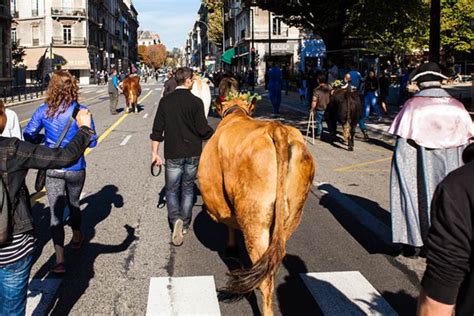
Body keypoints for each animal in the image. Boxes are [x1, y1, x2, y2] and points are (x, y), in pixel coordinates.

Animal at [197, 97, 314, 316]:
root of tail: (277, 129)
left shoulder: (222, 205)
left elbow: (229, 224)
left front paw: (231, 248)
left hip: (255, 219)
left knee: (265, 281)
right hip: (292, 215)